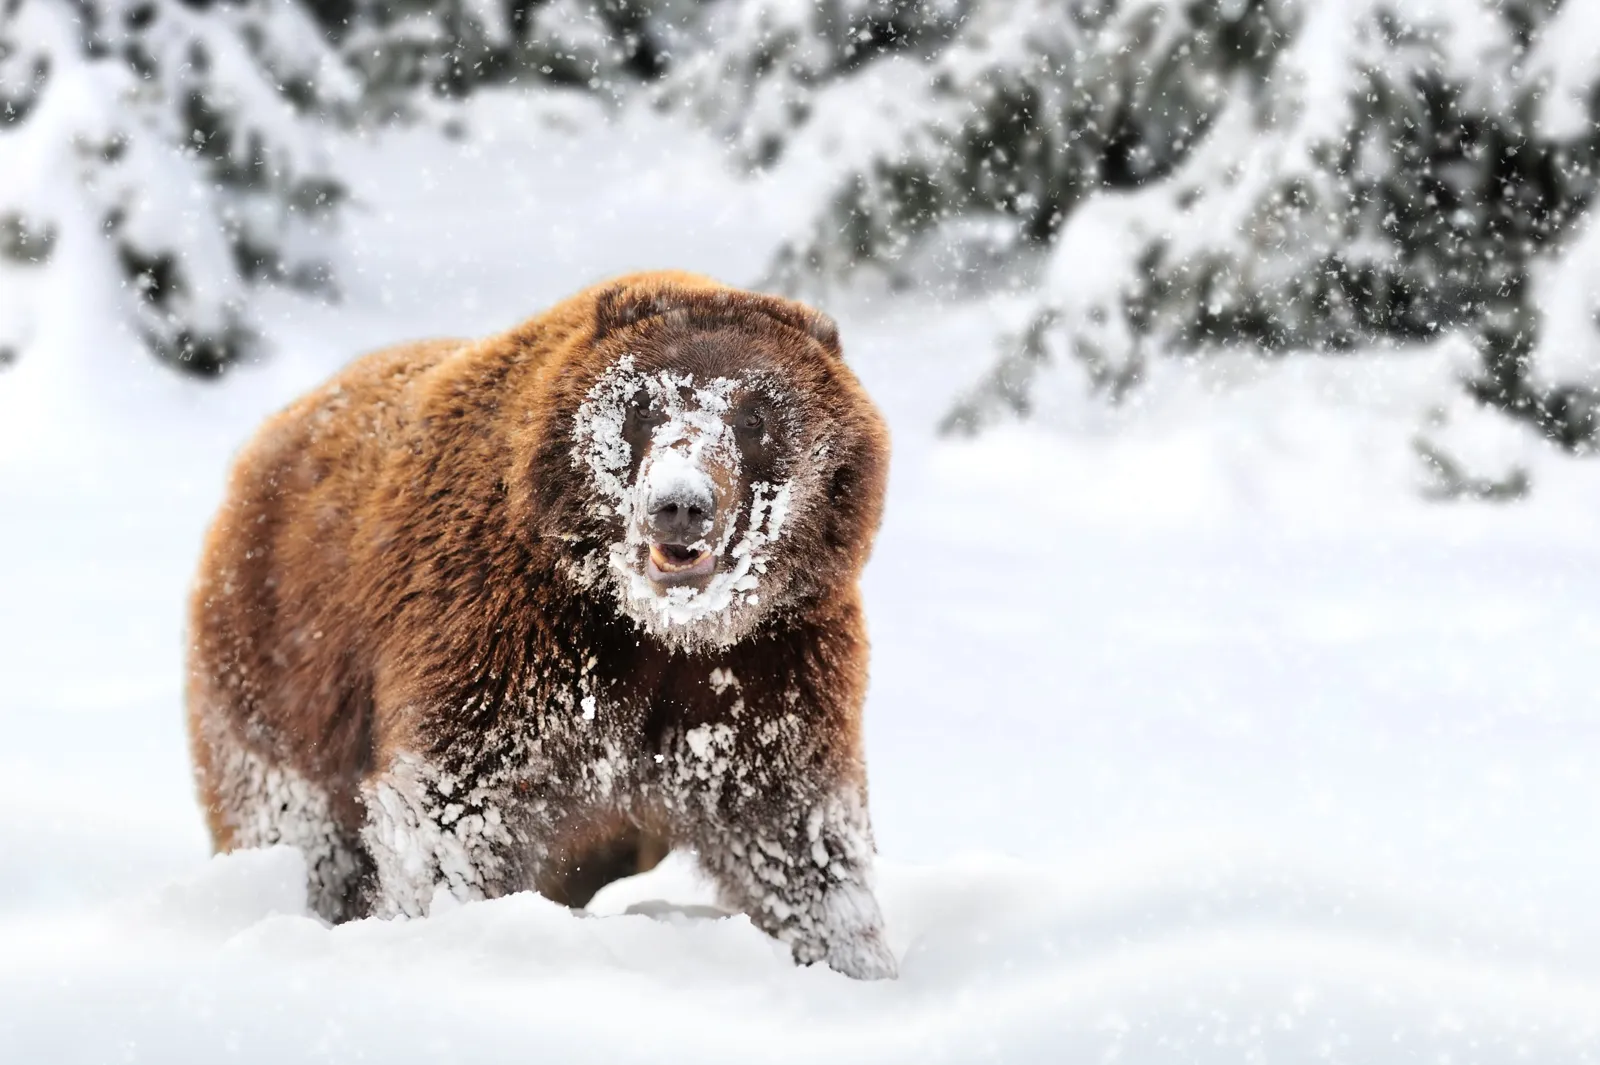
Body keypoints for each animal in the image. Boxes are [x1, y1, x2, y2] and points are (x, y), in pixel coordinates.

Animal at [185, 270, 897, 979]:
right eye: (644, 404)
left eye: (755, 415)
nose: (680, 504)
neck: (658, 630)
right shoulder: (508, 636)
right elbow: (456, 810)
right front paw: (447, 930)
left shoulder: (764, 669)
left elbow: (795, 834)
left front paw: (854, 959)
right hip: (284, 667)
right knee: (293, 824)